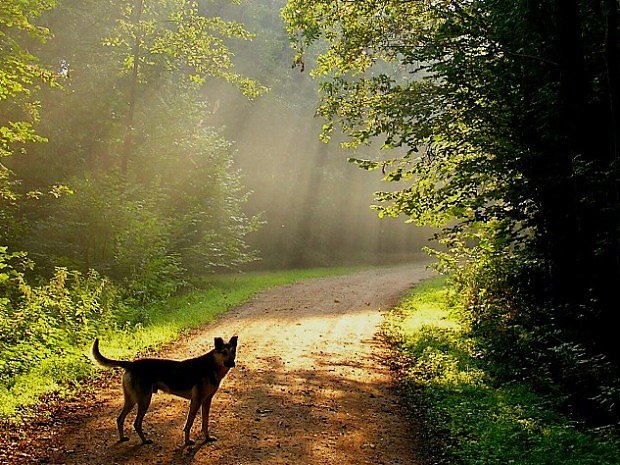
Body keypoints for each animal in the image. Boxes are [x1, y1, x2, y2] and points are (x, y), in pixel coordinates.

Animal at [91, 336, 237, 444]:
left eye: (233, 352)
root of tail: (132, 364)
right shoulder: (196, 401)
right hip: (144, 400)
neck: (212, 365)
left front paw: (207, 438)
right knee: (136, 423)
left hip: (132, 399)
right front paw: (187, 441)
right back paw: (145, 441)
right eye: (224, 352)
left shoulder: (206, 401)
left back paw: (122, 438)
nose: (232, 363)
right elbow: (189, 424)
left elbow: (205, 423)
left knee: (120, 419)